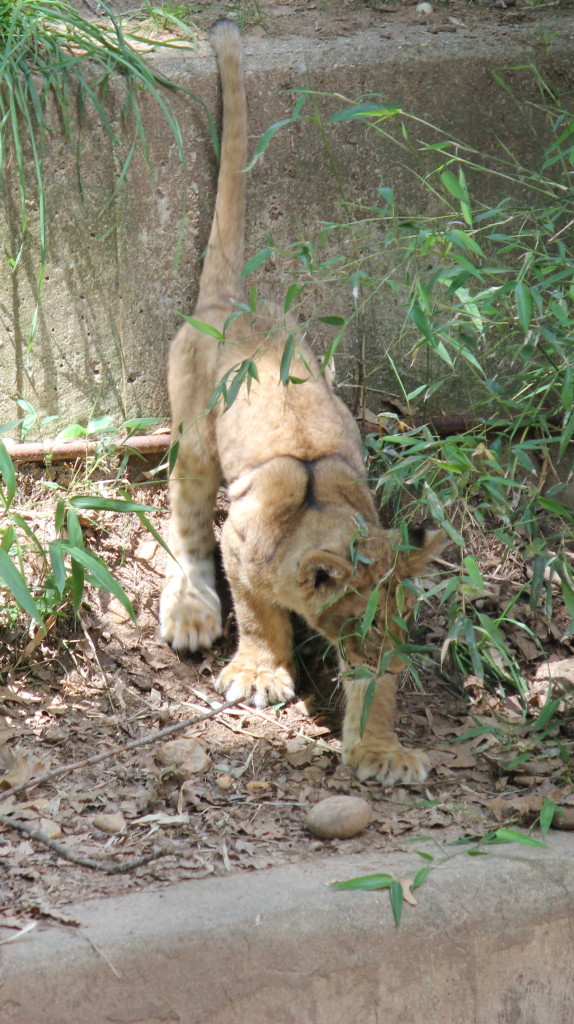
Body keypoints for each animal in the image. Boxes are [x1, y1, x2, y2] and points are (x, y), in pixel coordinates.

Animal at [159, 18, 445, 786]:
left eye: (398, 625)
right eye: (355, 619)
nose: (378, 652)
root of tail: (233, 302)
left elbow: (373, 697)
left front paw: (381, 751)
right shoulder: (241, 542)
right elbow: (262, 614)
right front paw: (260, 672)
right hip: (195, 437)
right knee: (184, 516)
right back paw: (192, 612)